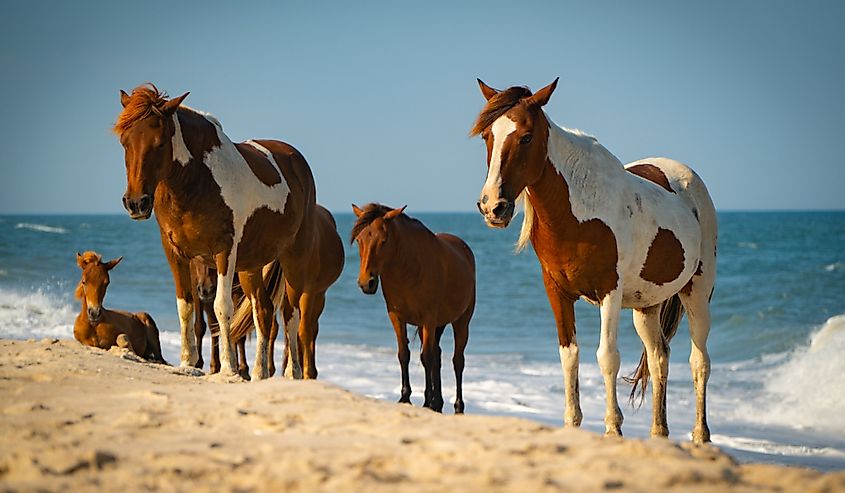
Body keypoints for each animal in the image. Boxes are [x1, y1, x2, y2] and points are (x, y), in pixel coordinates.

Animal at [113, 83, 322, 380]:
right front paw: (188, 362)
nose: (136, 203)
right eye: (125, 142)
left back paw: (291, 374)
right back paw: (259, 372)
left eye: (160, 143)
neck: (198, 181)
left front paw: (228, 368)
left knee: (290, 315)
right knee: (264, 311)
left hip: (294, 259)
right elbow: (186, 306)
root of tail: (297, 160)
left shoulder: (224, 251)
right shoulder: (175, 253)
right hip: (251, 266)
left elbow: (222, 307)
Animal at [346, 202, 472, 414]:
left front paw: (427, 402)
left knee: (457, 361)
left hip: (460, 322)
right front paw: (406, 397)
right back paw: (437, 402)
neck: (407, 270)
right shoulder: (397, 317)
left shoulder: (428, 318)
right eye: (359, 240)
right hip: (431, 326)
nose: (366, 283)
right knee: (437, 355)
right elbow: (404, 354)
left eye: (384, 241)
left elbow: (427, 357)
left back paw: (457, 406)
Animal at [472, 78, 716, 442]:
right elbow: (569, 355)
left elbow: (607, 357)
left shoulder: (608, 292)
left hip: (697, 291)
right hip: (647, 305)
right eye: (488, 135)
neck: (579, 212)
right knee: (659, 357)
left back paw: (700, 435)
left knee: (699, 361)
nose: (492, 207)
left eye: (526, 136)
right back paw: (658, 432)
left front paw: (613, 426)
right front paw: (572, 422)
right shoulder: (556, 291)